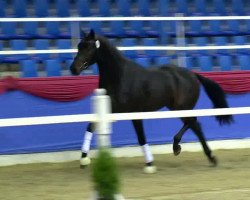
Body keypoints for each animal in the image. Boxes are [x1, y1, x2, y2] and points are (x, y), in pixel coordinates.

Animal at [69, 29, 233, 172]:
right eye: (79, 46)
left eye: (88, 47)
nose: (73, 69)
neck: (119, 77)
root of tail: (193, 74)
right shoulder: (108, 111)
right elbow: (90, 126)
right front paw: (83, 159)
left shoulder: (135, 113)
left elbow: (141, 138)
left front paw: (150, 164)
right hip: (176, 108)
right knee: (195, 125)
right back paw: (207, 156)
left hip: (182, 107)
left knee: (193, 123)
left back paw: (180, 148)